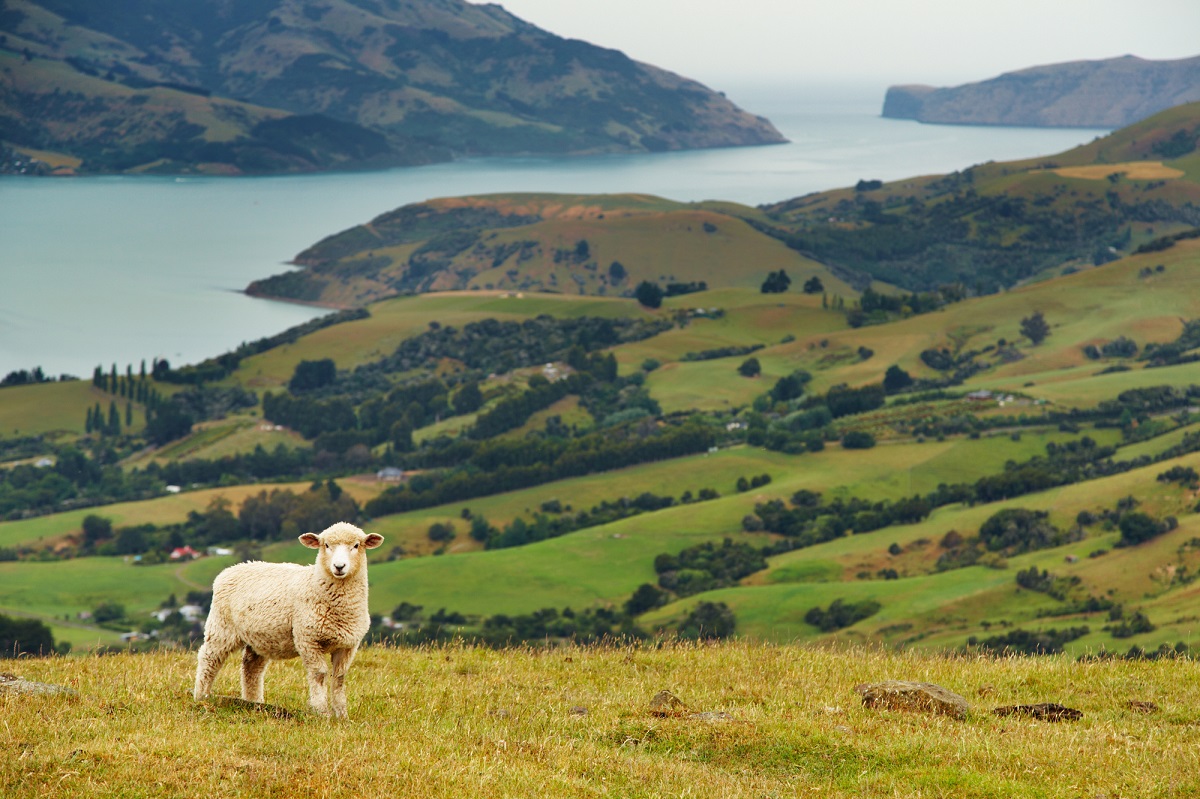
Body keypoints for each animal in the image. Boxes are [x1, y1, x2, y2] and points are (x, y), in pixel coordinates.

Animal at [194, 523, 384, 715]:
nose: (339, 566)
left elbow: (339, 678)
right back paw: (201, 697)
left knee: (251, 667)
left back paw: (254, 703)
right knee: (209, 660)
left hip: (260, 637)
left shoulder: (348, 645)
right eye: (326, 545)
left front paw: (341, 714)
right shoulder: (308, 639)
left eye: (356, 545)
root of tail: (231, 569)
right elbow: (319, 674)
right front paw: (321, 712)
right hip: (222, 627)